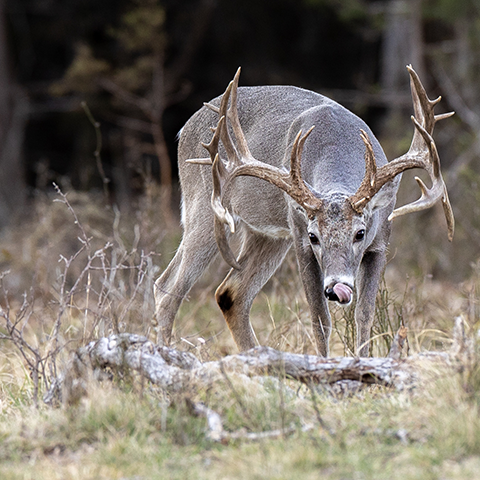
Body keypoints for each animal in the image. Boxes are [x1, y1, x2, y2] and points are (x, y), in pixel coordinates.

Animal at [154, 64, 454, 356]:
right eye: (314, 236)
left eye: (360, 233)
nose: (335, 288)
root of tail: (184, 129)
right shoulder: (300, 241)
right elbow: (320, 319)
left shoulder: (380, 242)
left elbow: (365, 314)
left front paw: (364, 362)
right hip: (205, 207)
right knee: (168, 287)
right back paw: (165, 350)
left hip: (268, 234)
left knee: (230, 294)